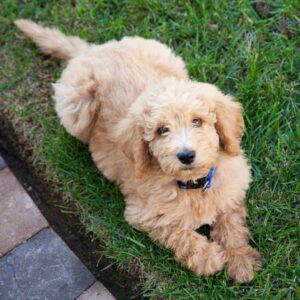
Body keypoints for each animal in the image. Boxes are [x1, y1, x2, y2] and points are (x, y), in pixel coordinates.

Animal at [15, 19, 262, 282]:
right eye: (162, 130)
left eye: (197, 121)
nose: (186, 156)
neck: (194, 185)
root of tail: (91, 51)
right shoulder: (144, 214)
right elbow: (178, 233)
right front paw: (208, 257)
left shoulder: (232, 191)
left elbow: (231, 224)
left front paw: (241, 259)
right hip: (75, 107)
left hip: (167, 57)